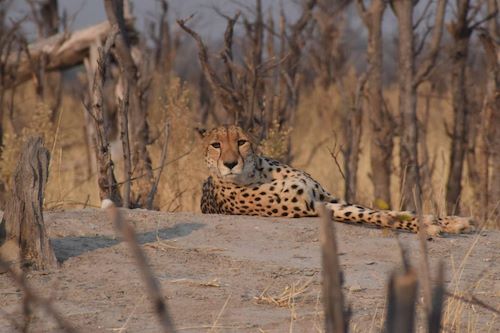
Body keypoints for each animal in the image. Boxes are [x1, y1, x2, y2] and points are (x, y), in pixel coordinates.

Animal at [200, 124, 472, 236]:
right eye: (216, 145)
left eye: (241, 142)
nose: (230, 163)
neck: (257, 171)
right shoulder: (317, 206)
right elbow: (374, 215)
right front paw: (428, 225)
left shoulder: (326, 196)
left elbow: (383, 210)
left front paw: (449, 221)